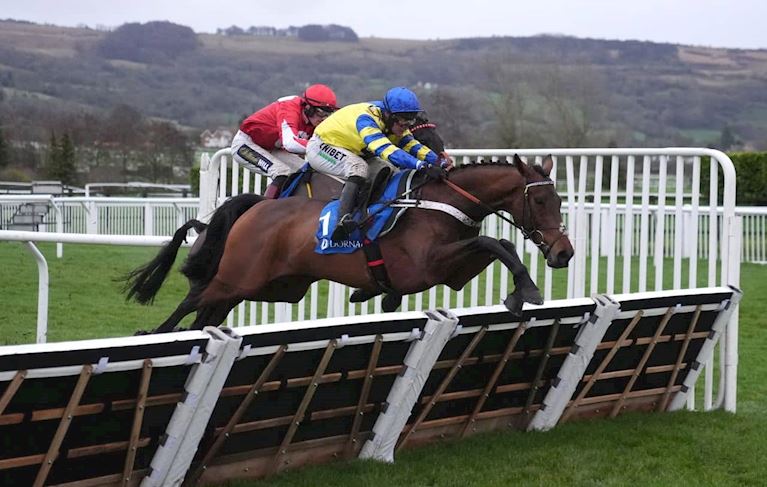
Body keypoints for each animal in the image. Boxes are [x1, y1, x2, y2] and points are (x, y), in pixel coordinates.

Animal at [124, 154, 573, 333]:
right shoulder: (424, 266)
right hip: (238, 277)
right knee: (193, 298)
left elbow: (497, 244)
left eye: (559, 199)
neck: (437, 203)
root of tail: (257, 207)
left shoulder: (452, 271)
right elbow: (494, 241)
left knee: (206, 316)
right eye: (539, 201)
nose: (563, 252)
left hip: (270, 287)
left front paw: (519, 292)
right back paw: (154, 332)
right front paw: (528, 289)